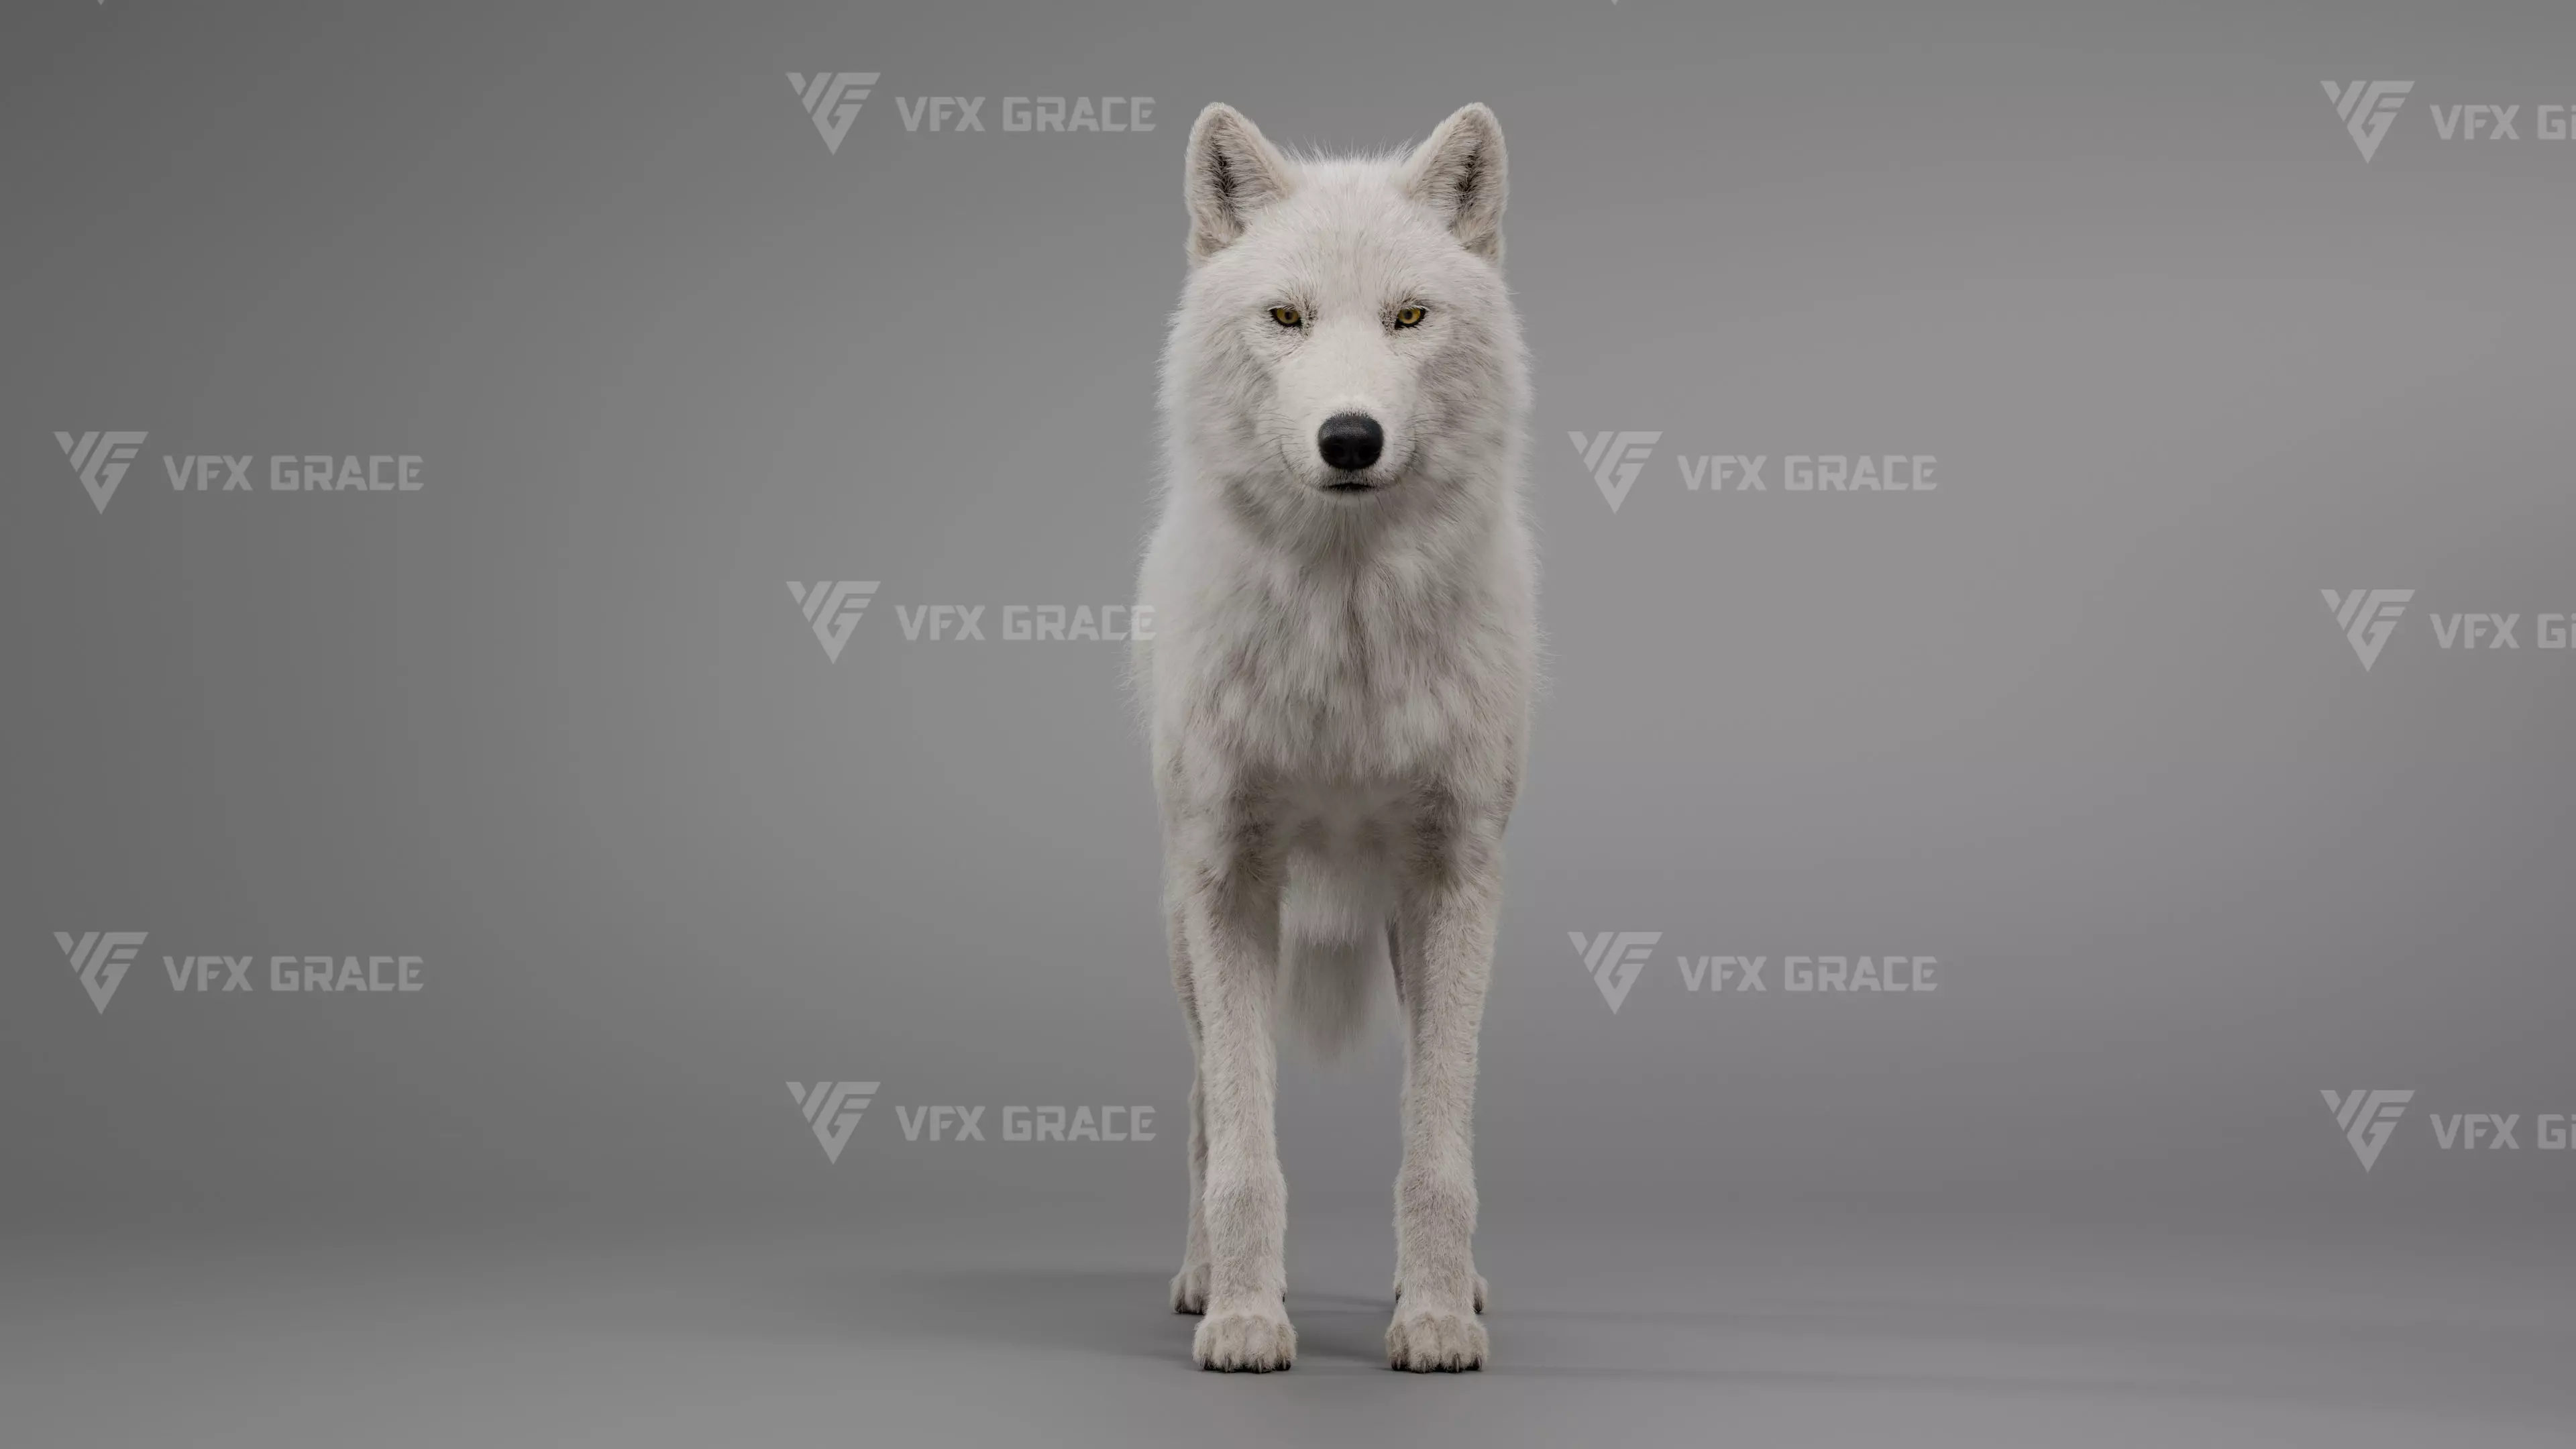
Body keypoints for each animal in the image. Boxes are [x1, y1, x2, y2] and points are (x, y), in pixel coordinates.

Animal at [1131, 102, 1534, 1372]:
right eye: (1287, 318)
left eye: (1408, 317)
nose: (1349, 439)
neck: (1345, 637)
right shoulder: (1230, 880)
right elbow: (1246, 1152)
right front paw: (1249, 1320)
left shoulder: (1455, 879)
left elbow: (1437, 1145)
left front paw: (1439, 1318)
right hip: (1184, 939)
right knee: (1204, 1113)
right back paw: (1200, 1282)